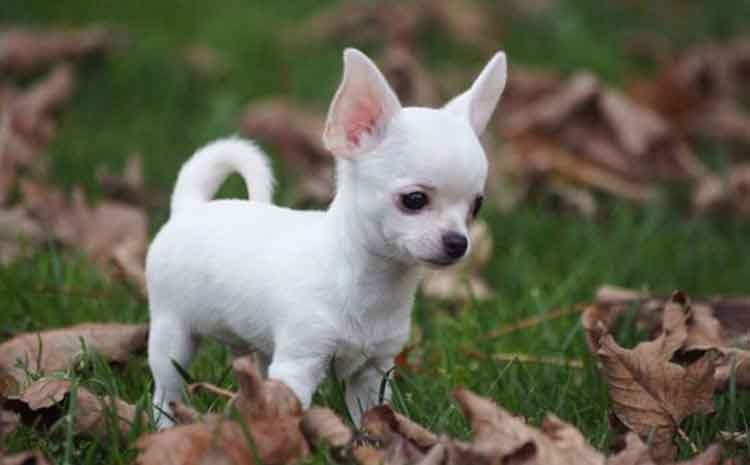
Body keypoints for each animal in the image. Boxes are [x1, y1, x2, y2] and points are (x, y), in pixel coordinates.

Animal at [147, 48, 508, 428]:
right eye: (414, 200)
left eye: (477, 205)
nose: (458, 242)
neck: (372, 285)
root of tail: (189, 207)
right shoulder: (299, 363)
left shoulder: (374, 371)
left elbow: (370, 416)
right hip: (172, 332)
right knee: (165, 391)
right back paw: (165, 426)